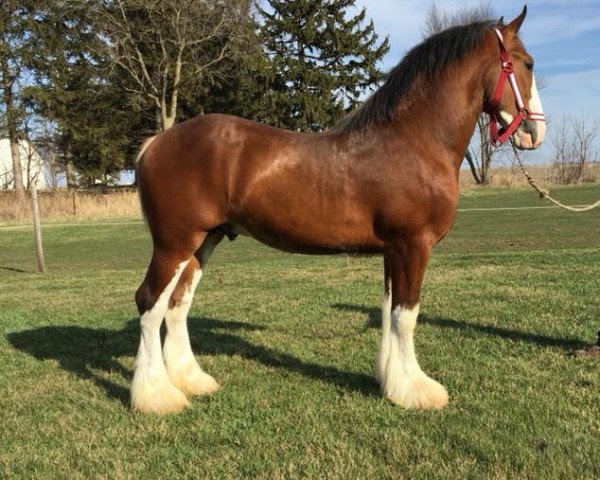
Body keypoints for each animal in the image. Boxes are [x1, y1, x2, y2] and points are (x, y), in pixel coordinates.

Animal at [132, 6, 548, 412]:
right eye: (527, 63)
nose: (535, 132)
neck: (414, 140)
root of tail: (155, 143)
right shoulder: (413, 246)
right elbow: (406, 316)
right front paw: (418, 391)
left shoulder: (393, 251)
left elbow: (389, 311)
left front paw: (391, 382)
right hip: (174, 244)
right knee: (149, 303)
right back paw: (157, 397)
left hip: (204, 242)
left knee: (177, 305)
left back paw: (192, 381)